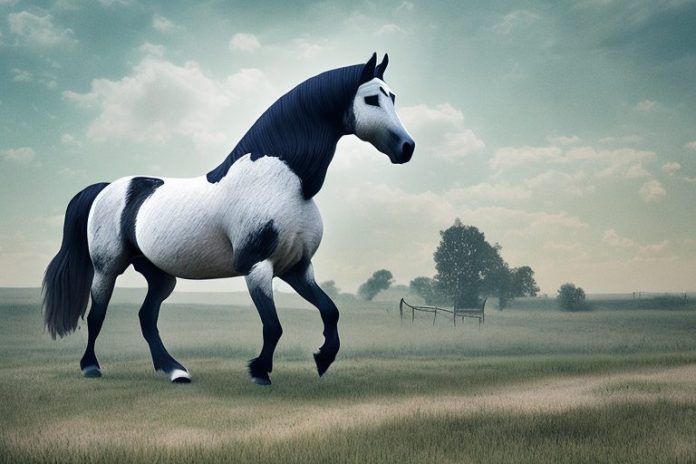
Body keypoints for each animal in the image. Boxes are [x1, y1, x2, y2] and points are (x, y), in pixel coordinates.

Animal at [42, 53, 415, 385]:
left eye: (393, 96)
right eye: (371, 98)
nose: (407, 147)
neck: (284, 181)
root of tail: (107, 188)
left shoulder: (297, 268)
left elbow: (330, 311)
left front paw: (322, 359)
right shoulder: (257, 266)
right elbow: (274, 326)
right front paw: (259, 371)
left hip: (160, 275)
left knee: (147, 318)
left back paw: (175, 371)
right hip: (108, 267)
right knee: (97, 315)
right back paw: (92, 367)